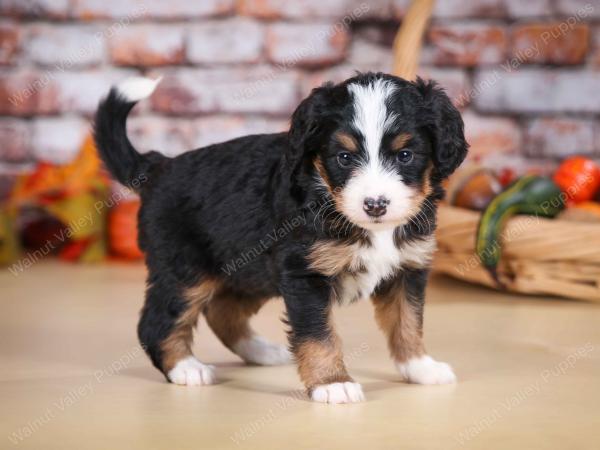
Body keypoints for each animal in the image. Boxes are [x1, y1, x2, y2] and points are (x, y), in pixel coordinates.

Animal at [94, 71, 468, 404]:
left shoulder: (408, 268)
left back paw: (262, 352)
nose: (375, 204)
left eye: (405, 155)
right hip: (185, 269)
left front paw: (420, 367)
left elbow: (408, 321)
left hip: (249, 269)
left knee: (223, 312)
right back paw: (186, 368)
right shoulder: (305, 274)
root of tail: (158, 167)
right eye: (344, 157)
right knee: (157, 321)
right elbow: (319, 334)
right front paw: (333, 384)